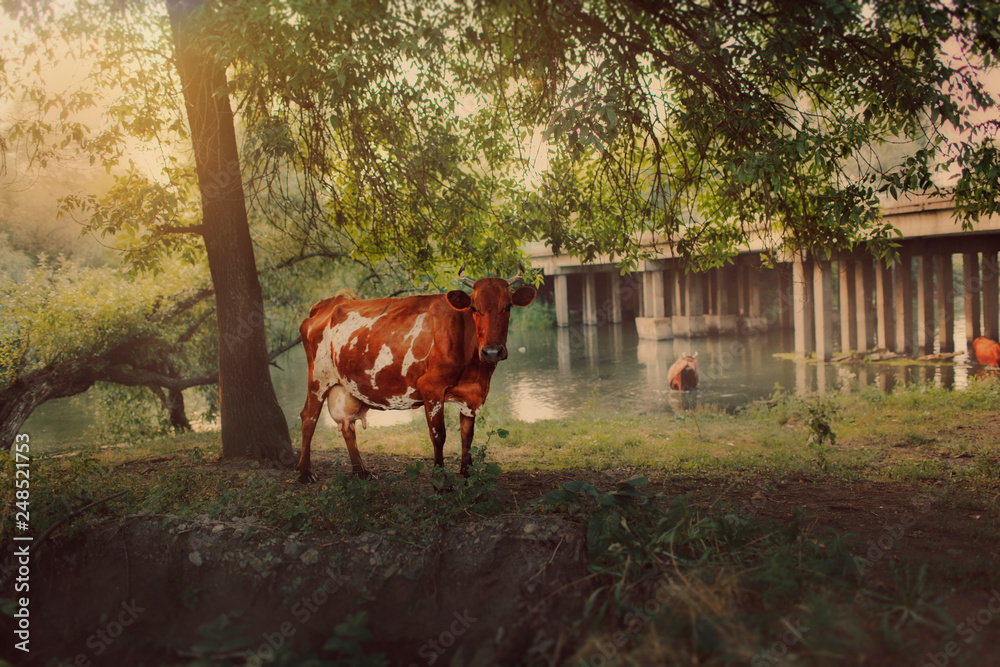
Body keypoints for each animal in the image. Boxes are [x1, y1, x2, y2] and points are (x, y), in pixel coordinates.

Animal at [296, 266, 536, 482]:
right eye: (474, 308)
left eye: (508, 307)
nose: (492, 351)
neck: (477, 370)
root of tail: (328, 303)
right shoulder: (430, 387)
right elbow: (439, 435)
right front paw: (441, 481)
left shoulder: (472, 395)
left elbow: (467, 436)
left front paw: (467, 475)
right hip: (318, 379)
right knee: (309, 418)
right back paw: (305, 473)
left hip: (346, 386)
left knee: (348, 425)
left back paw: (361, 472)